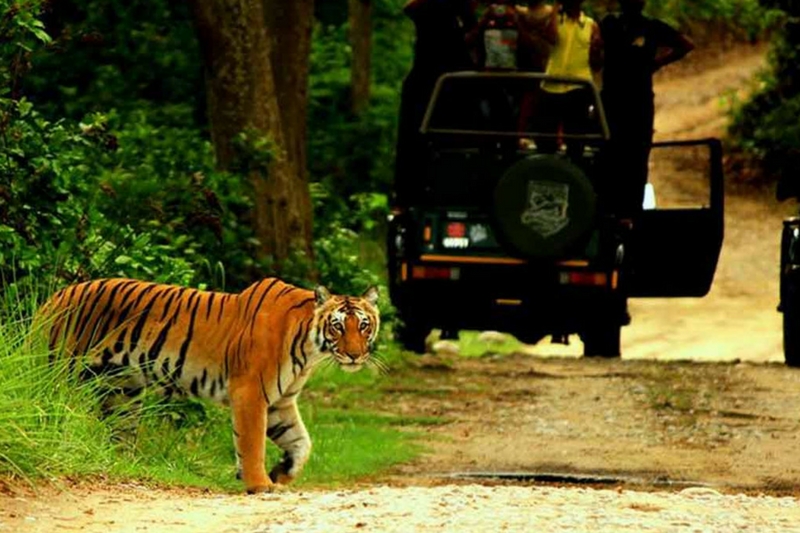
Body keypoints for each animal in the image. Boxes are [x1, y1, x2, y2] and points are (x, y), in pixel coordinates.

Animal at [39, 276, 382, 492]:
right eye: (338, 326)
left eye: (364, 325)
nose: (355, 355)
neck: (309, 348)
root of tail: (55, 296)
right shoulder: (250, 392)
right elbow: (251, 443)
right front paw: (260, 484)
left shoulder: (280, 403)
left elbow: (302, 443)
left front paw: (281, 473)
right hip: (60, 369)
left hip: (122, 392)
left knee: (120, 434)